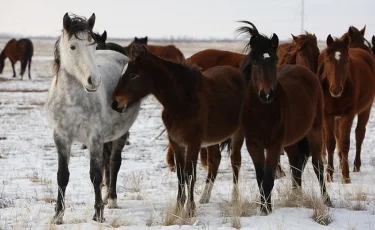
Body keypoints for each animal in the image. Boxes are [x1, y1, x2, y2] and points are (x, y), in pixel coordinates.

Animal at [111, 44, 247, 214]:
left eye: (133, 75)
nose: (114, 103)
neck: (182, 102)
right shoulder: (176, 142)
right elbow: (181, 174)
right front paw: (179, 206)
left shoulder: (193, 143)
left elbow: (190, 174)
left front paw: (190, 209)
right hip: (213, 139)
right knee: (215, 161)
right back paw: (205, 197)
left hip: (238, 135)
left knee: (235, 162)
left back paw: (234, 198)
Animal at [238, 20, 332, 215]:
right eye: (255, 62)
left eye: (274, 60)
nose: (267, 94)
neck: (261, 112)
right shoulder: (253, 145)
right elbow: (260, 178)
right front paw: (263, 208)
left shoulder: (274, 145)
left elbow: (268, 179)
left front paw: (267, 210)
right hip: (291, 142)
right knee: (296, 164)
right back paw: (297, 196)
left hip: (315, 131)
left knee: (317, 165)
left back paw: (327, 200)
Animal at [318, 34, 375, 183]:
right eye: (328, 60)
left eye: (346, 61)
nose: (336, 89)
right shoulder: (327, 115)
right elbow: (330, 142)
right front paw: (329, 174)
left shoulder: (348, 115)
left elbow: (344, 142)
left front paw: (346, 175)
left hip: (365, 110)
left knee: (359, 134)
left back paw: (356, 165)